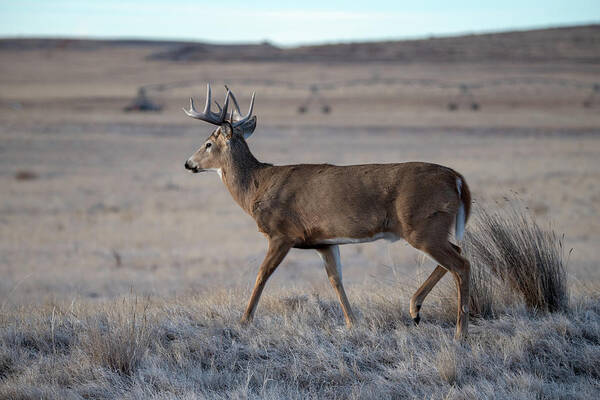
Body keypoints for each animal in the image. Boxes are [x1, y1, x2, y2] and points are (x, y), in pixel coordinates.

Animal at [183, 86, 474, 340]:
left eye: (208, 143)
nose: (188, 163)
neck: (257, 186)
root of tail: (456, 178)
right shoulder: (324, 241)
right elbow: (336, 279)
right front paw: (351, 322)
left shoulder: (282, 233)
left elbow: (262, 274)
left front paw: (244, 320)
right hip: (431, 227)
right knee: (458, 253)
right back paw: (416, 310)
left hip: (423, 225)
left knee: (461, 264)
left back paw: (459, 333)